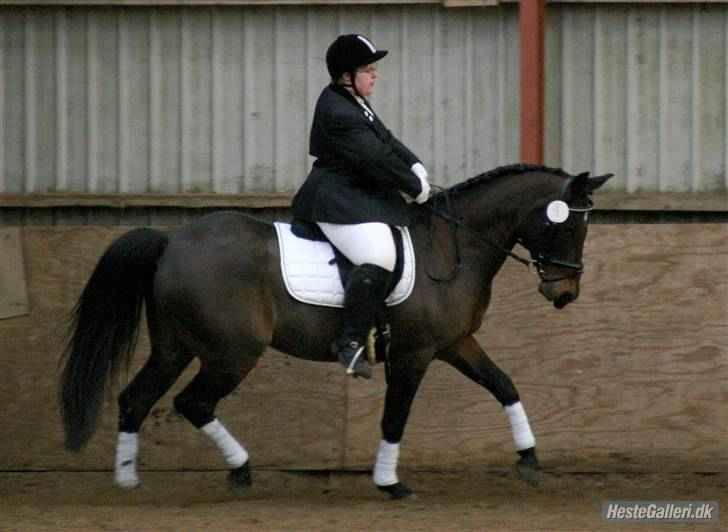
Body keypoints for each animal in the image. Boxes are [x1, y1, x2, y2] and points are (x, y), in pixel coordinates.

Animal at [59, 163, 612, 498]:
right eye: (568, 224)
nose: (564, 293)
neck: (454, 248)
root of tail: (171, 241)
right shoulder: (414, 353)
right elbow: (396, 417)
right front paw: (389, 483)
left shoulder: (456, 343)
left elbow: (504, 385)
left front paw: (529, 457)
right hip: (232, 352)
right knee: (191, 403)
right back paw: (239, 469)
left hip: (176, 347)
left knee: (136, 399)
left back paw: (128, 480)